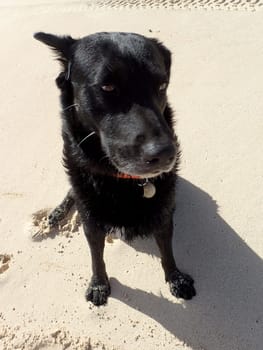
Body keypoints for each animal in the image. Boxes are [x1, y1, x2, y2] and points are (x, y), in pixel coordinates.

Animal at [34, 31, 196, 304]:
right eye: (108, 87)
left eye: (161, 86)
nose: (166, 154)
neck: (123, 181)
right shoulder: (91, 223)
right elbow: (96, 258)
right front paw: (99, 284)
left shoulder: (163, 218)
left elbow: (167, 251)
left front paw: (175, 278)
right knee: (72, 192)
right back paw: (57, 213)